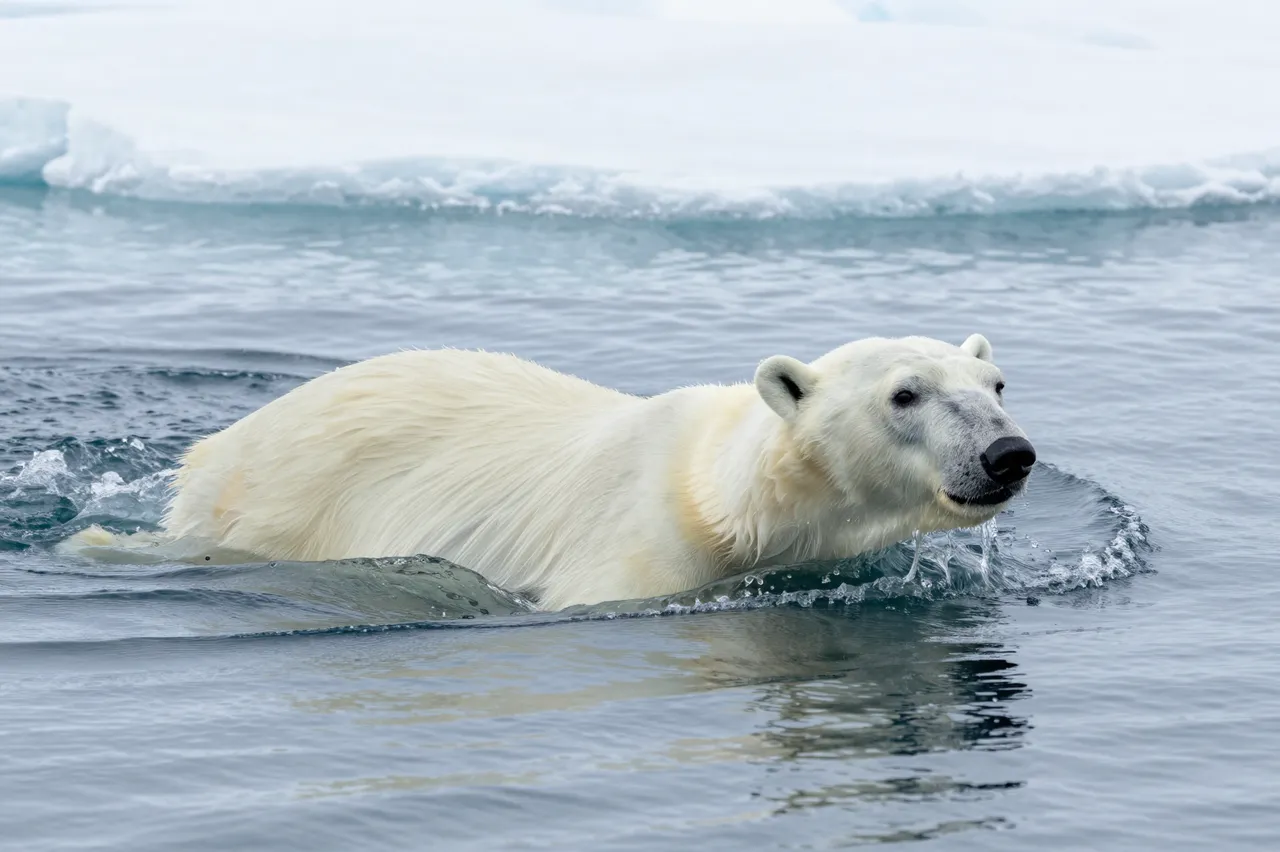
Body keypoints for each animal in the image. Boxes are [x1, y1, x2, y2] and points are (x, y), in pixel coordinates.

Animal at [66, 334, 1035, 610]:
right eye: (906, 394)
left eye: (994, 385)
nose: (1008, 453)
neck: (722, 496)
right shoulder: (636, 557)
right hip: (271, 502)